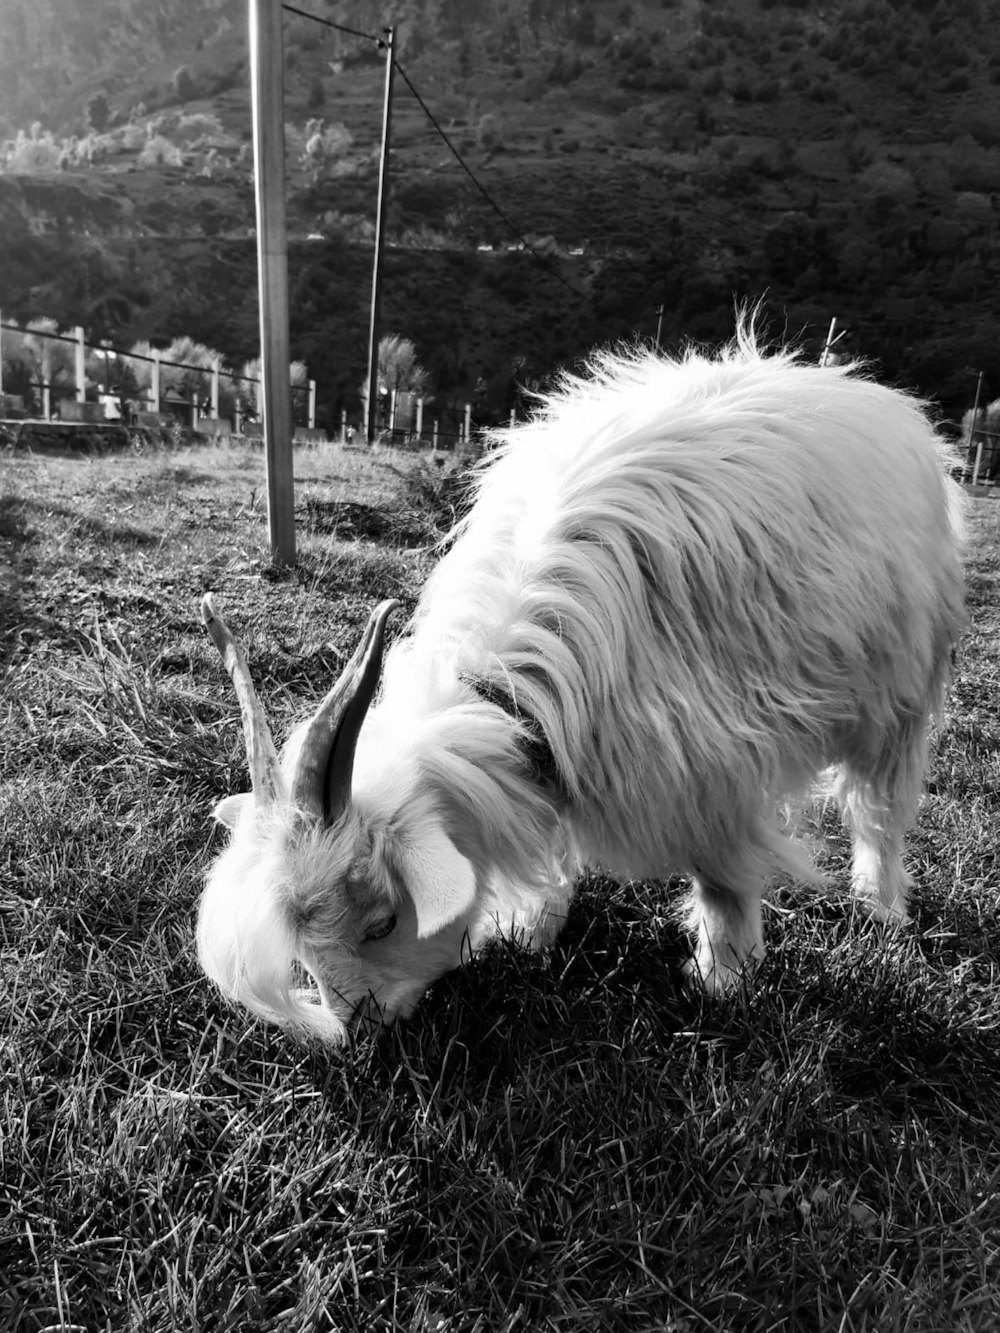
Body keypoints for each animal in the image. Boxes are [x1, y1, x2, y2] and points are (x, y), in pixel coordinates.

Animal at [197, 330, 970, 1039]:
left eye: (383, 921)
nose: (360, 1033)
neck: (517, 684)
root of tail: (853, 383)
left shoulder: (708, 763)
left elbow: (723, 882)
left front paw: (723, 980)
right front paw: (531, 927)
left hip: (898, 694)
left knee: (878, 806)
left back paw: (880, 904)